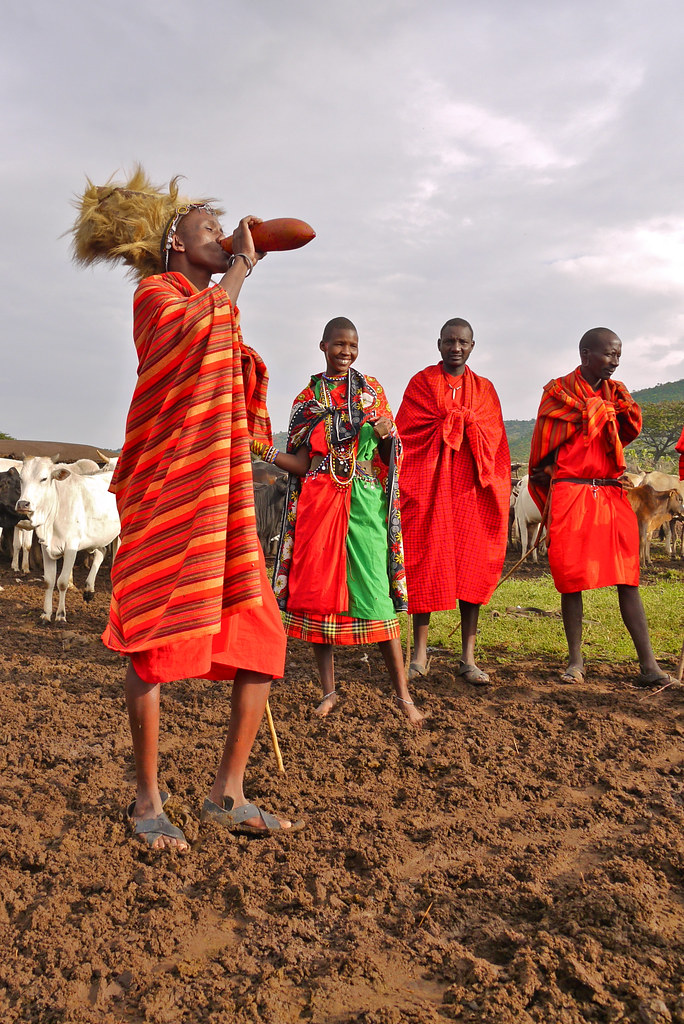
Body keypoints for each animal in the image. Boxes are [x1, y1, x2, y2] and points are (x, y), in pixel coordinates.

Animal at [15, 458, 120, 618]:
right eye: (21, 478)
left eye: (44, 478)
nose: (23, 504)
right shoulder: (46, 547)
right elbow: (49, 581)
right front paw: (46, 614)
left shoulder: (71, 547)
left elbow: (62, 582)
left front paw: (60, 615)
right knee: (101, 552)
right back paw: (89, 590)